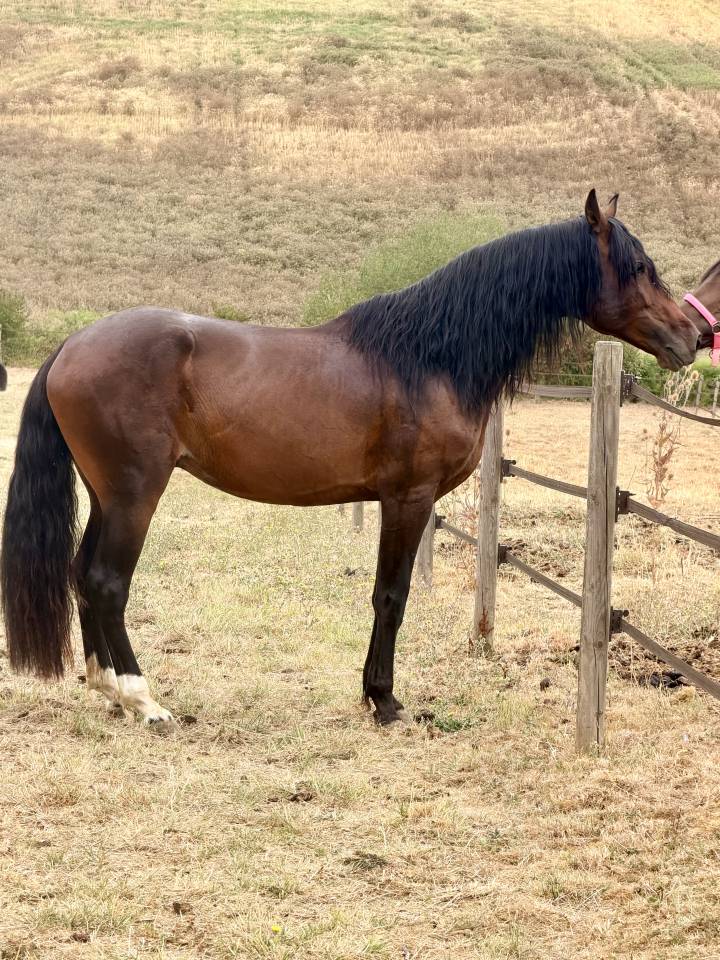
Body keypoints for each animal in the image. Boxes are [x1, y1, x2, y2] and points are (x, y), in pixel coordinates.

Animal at [0, 190, 699, 729]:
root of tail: (72, 345)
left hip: (105, 495)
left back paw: (107, 691)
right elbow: (391, 595)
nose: (694, 335)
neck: (431, 355)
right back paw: (144, 700)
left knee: (82, 574)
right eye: (639, 267)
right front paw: (384, 700)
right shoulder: (408, 499)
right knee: (106, 582)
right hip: (134, 494)